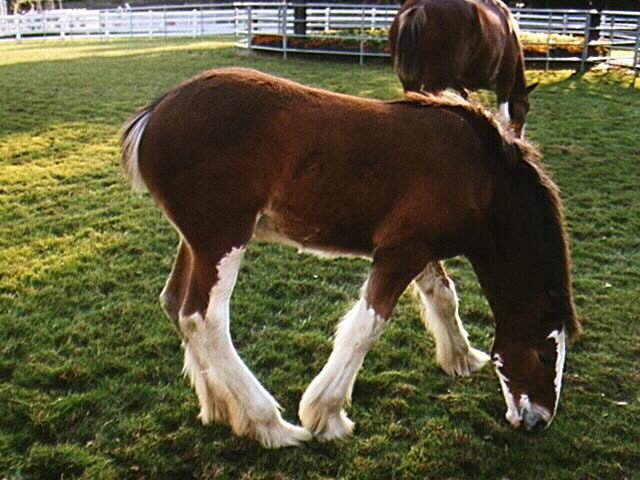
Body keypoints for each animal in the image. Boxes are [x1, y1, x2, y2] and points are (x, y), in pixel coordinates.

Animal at [120, 68, 580, 450]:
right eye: (545, 354)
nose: (538, 420)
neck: (480, 177)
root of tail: (155, 112)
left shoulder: (421, 248)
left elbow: (443, 297)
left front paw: (462, 358)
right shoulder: (401, 251)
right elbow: (367, 327)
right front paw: (326, 414)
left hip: (195, 242)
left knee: (175, 305)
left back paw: (220, 405)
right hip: (222, 240)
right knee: (203, 319)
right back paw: (269, 424)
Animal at [390, 0, 536, 137]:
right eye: (527, 107)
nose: (519, 138)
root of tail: (421, 6)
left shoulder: (457, 83)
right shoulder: (505, 81)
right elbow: (503, 118)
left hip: (410, 82)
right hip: (436, 82)